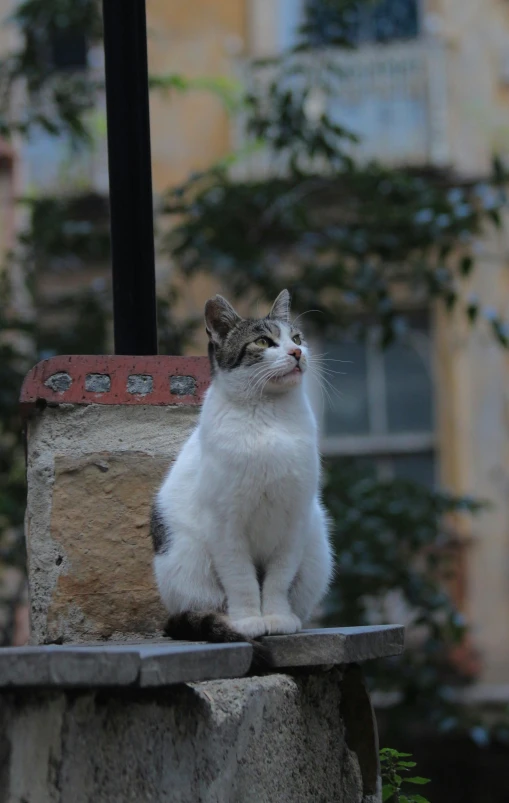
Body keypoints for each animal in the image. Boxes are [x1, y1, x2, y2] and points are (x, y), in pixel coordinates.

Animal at [150, 288, 334, 652]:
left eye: (296, 338)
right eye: (263, 341)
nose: (297, 352)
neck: (268, 416)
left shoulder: (295, 520)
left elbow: (278, 579)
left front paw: (276, 617)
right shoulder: (225, 524)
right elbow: (241, 579)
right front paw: (248, 621)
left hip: (317, 550)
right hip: (186, 559)